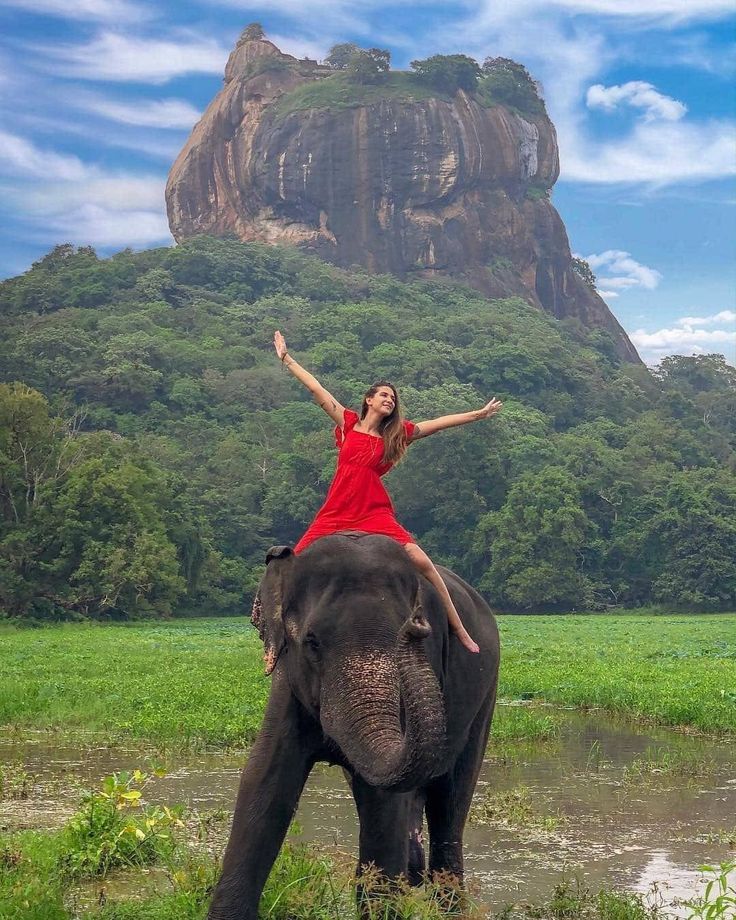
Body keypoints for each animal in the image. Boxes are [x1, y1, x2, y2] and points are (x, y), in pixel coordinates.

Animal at [207, 532, 500, 920]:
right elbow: (265, 779)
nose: (416, 626)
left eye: (413, 634)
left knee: (450, 799)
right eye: (312, 642)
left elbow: (384, 801)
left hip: (485, 695)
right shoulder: (287, 683)